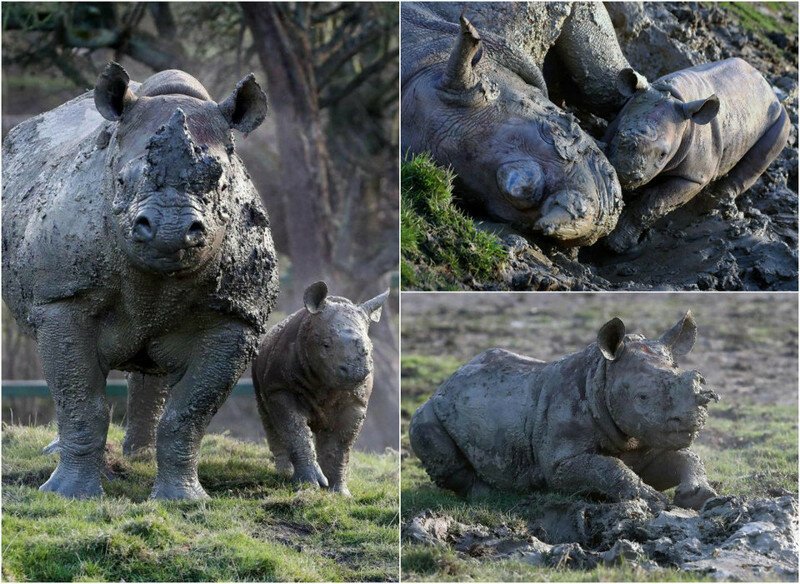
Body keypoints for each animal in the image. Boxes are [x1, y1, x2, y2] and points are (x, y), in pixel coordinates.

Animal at [1, 65, 278, 502]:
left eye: (221, 184)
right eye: (121, 181)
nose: (169, 230)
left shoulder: (235, 317)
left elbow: (190, 413)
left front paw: (184, 501)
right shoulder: (63, 298)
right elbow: (80, 398)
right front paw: (69, 495)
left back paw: (140, 458)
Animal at [250, 280, 388, 496]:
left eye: (369, 349)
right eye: (325, 345)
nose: (355, 371)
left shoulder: (356, 402)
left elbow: (340, 446)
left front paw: (339, 492)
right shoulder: (280, 389)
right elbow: (295, 431)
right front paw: (308, 485)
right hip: (258, 362)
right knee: (268, 417)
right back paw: (284, 473)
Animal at [412, 312, 720, 508]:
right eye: (642, 396)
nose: (692, 422)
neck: (601, 375)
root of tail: (449, 379)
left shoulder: (645, 438)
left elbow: (685, 457)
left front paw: (701, 497)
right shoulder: (560, 462)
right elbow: (606, 467)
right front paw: (650, 499)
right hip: (433, 409)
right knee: (429, 437)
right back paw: (490, 496)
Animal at [608, 57, 788, 251]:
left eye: (663, 155)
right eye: (618, 134)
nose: (626, 173)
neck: (671, 94)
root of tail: (769, 88)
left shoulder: (694, 177)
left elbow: (655, 202)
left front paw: (617, 244)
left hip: (781, 120)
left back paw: (715, 207)